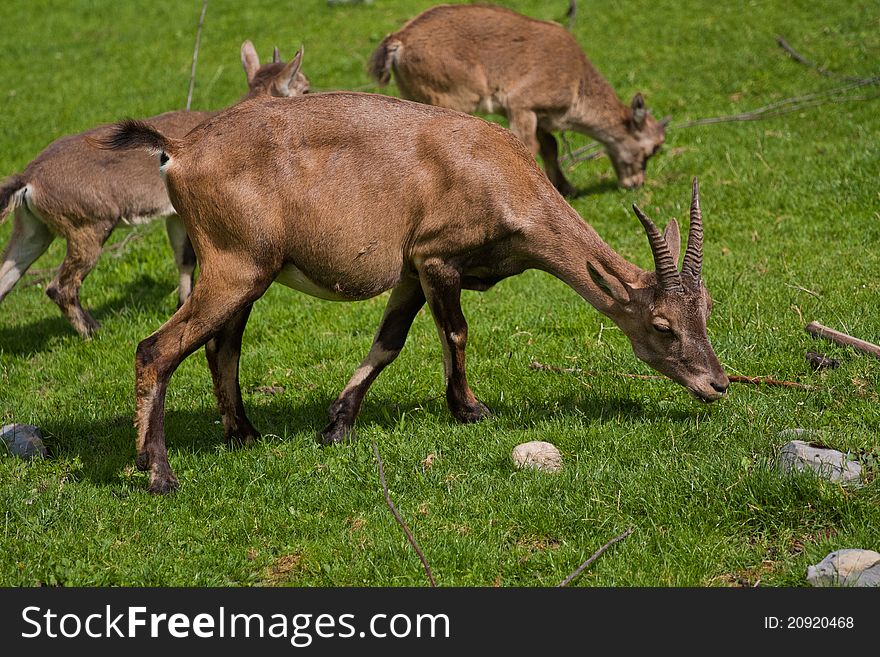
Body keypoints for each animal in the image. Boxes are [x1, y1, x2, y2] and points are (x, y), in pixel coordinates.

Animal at [0, 41, 310, 336]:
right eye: (304, 87)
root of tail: (30, 177)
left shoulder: (174, 215)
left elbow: (184, 259)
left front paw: (182, 303)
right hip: (87, 226)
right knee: (61, 286)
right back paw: (93, 331)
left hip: (32, 229)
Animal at [99, 91, 724, 492]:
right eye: (663, 325)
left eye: (707, 309)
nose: (716, 384)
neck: (502, 176)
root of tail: (177, 151)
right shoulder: (437, 257)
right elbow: (457, 331)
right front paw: (470, 409)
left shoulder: (410, 272)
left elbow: (389, 344)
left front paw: (337, 425)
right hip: (234, 267)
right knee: (157, 348)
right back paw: (159, 473)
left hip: (246, 273)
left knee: (219, 346)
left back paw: (245, 435)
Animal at [368, 4, 664, 195]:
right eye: (652, 149)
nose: (635, 183)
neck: (576, 82)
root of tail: (399, 41)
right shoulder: (521, 104)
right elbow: (529, 145)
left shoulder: (540, 114)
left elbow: (550, 146)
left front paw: (567, 188)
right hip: (448, 96)